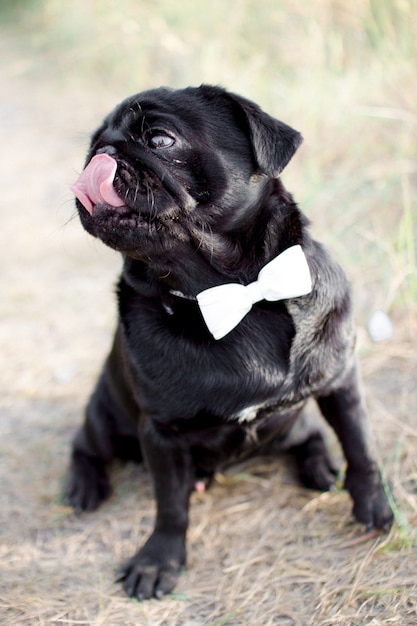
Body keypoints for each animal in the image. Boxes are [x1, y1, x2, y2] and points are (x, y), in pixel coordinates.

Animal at [63, 85, 392, 596]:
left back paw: (319, 465)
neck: (235, 294)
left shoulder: (340, 380)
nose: (105, 152)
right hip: (104, 415)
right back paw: (84, 486)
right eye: (93, 146)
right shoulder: (161, 432)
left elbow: (361, 446)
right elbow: (170, 505)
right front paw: (158, 560)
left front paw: (373, 505)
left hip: (291, 421)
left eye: (159, 140)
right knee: (85, 445)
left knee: (310, 435)